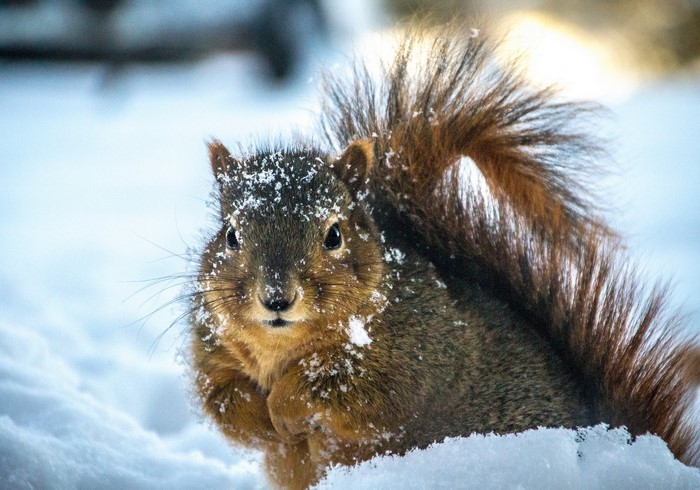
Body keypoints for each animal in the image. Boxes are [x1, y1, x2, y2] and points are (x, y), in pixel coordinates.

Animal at [186, 23, 700, 489]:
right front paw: (262, 422)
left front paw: (282, 409)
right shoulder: (212, 352)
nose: (276, 298)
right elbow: (223, 402)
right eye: (230, 235)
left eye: (334, 235)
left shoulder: (417, 354)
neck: (282, 349)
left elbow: (352, 392)